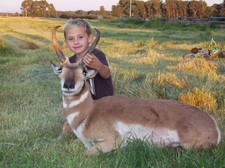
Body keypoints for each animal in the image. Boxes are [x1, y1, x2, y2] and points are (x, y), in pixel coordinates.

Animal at [50, 25, 221, 156]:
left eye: (84, 72)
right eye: (61, 69)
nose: (69, 85)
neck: (89, 112)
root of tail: (214, 125)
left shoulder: (112, 140)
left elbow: (83, 153)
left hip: (188, 145)